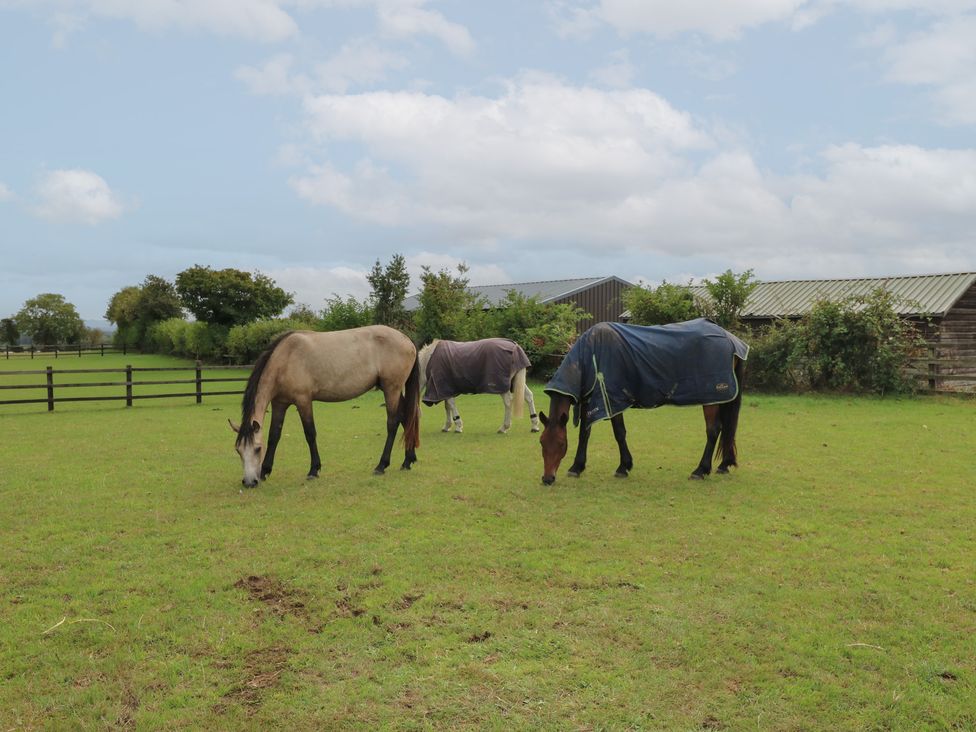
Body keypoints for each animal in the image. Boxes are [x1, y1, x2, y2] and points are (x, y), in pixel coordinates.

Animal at [229, 325, 421, 487]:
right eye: (238, 450)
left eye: (257, 449)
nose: (249, 482)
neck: (286, 358)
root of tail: (406, 339)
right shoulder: (279, 404)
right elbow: (274, 436)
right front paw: (265, 471)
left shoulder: (303, 401)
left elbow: (310, 434)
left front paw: (314, 470)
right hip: (393, 390)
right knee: (406, 418)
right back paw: (408, 461)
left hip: (391, 389)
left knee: (393, 423)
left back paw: (381, 465)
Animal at [539, 318, 748, 485]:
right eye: (541, 442)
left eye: (561, 444)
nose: (547, 478)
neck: (590, 355)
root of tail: (730, 339)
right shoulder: (590, 400)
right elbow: (586, 433)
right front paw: (579, 467)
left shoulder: (611, 399)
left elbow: (618, 433)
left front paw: (621, 467)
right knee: (727, 429)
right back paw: (723, 465)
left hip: (712, 398)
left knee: (713, 430)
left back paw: (700, 470)